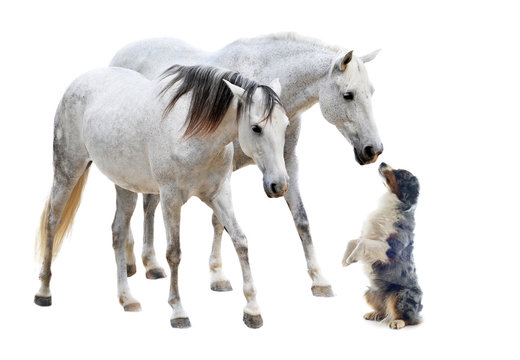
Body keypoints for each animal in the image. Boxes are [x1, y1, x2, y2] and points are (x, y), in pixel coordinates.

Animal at [34, 64, 288, 330]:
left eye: (285, 126)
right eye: (256, 127)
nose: (278, 185)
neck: (192, 133)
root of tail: (78, 82)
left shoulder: (219, 194)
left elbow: (240, 241)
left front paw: (253, 310)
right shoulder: (170, 198)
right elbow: (174, 252)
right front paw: (178, 311)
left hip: (125, 185)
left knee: (118, 232)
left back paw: (127, 299)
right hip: (67, 170)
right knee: (52, 222)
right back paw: (43, 291)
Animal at [110, 31, 386, 296]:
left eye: (372, 92)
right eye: (348, 95)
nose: (373, 150)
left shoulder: (287, 163)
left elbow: (301, 220)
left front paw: (319, 280)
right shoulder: (222, 174)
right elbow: (218, 222)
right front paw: (218, 276)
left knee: (147, 203)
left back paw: (143, 262)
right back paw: (141, 263)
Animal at [342, 163, 422, 330]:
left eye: (399, 173)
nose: (382, 163)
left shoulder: (391, 250)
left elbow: (363, 243)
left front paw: (352, 258)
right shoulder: (367, 235)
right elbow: (353, 241)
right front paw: (345, 260)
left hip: (401, 294)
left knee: (409, 318)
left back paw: (398, 321)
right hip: (370, 292)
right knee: (384, 310)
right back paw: (375, 314)